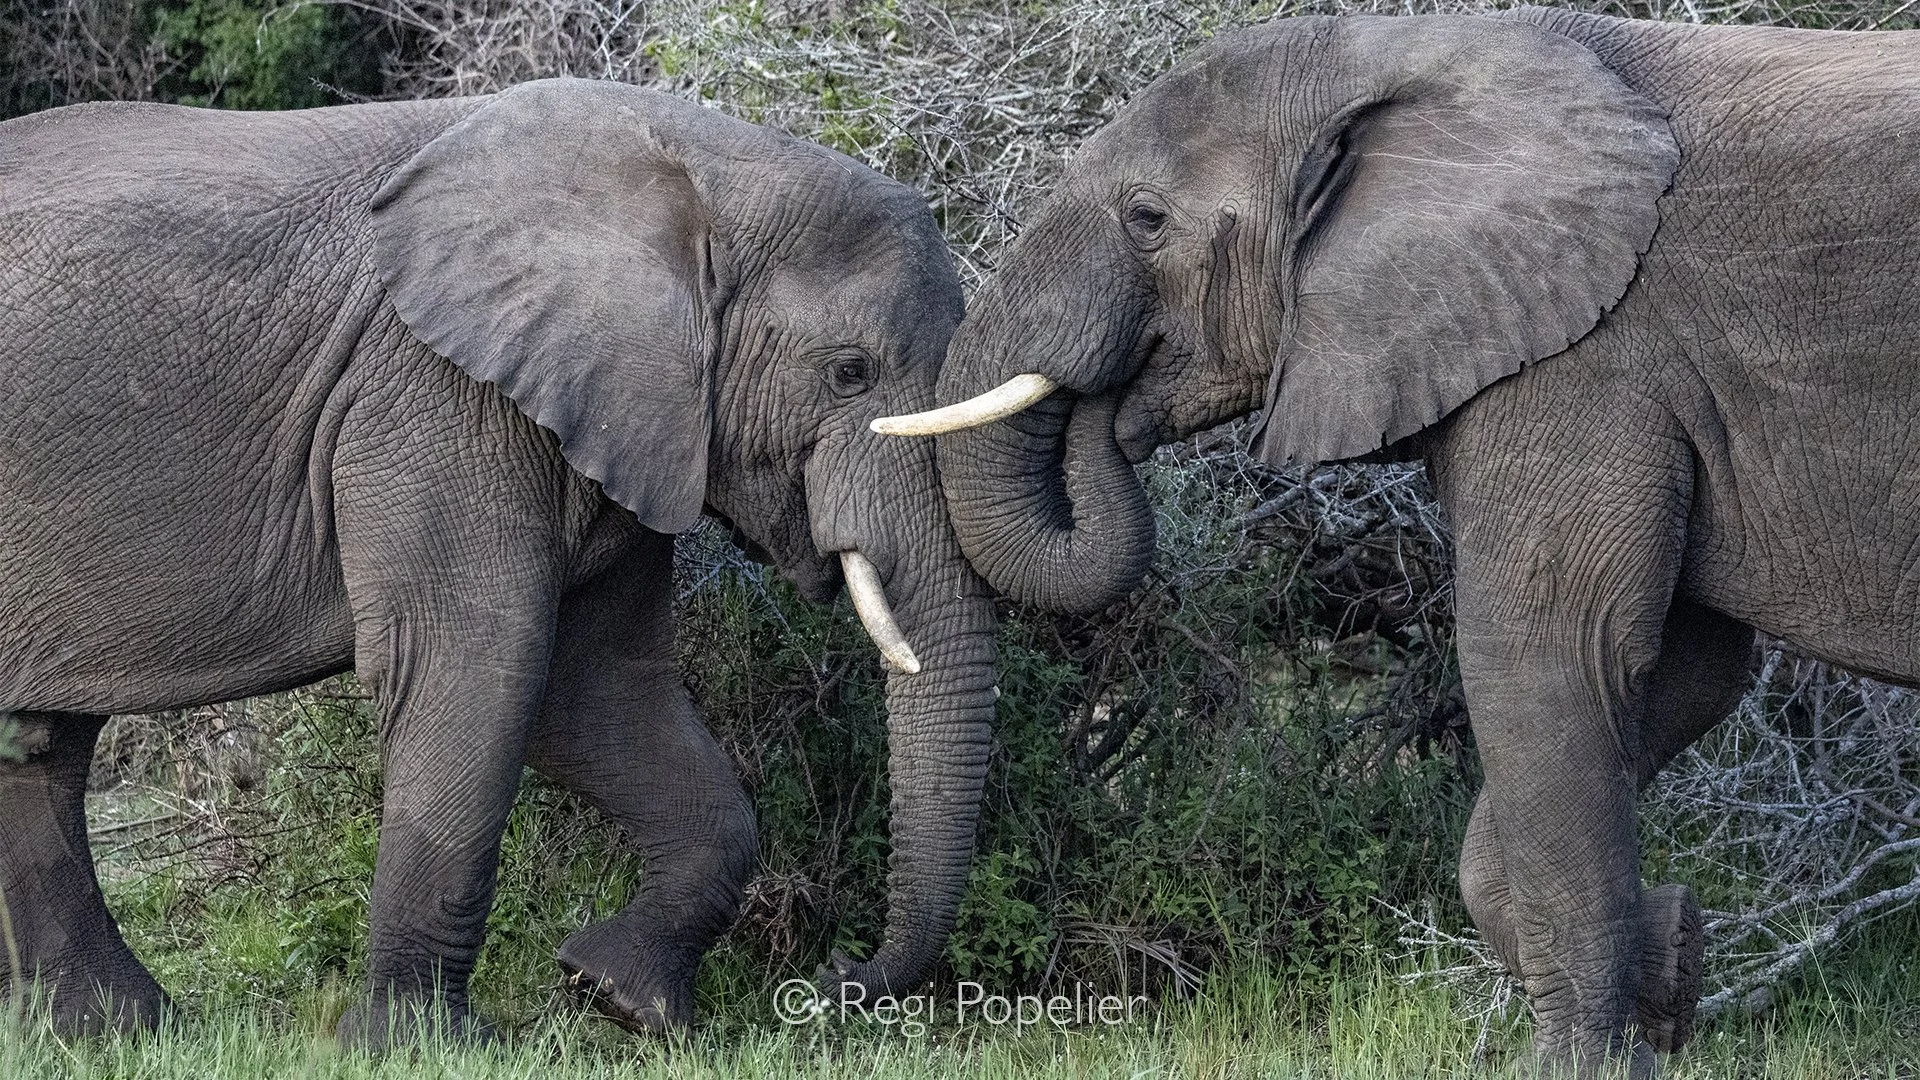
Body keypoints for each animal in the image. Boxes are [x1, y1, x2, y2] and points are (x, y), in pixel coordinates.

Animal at [0, 78, 996, 1042]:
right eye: (850, 373)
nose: (834, 979)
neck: (701, 169)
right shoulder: (434, 395)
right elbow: (480, 670)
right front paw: (415, 1047)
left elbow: (597, 689)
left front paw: (617, 998)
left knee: (40, 743)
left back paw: (118, 1033)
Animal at [876, 9, 1920, 1076]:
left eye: (1148, 219)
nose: (1107, 406)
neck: (1413, 48)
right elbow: (1683, 672)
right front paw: (1671, 968)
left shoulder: (1585, 358)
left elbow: (1551, 664)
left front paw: (1581, 1062)